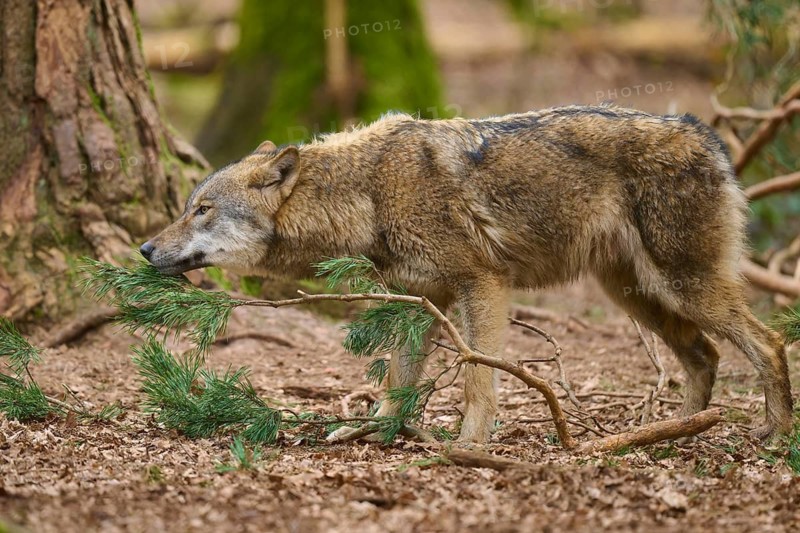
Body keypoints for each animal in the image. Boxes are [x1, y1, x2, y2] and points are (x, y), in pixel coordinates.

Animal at [140, 105, 794, 443]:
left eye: (201, 209)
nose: (145, 249)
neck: (369, 191)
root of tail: (709, 137)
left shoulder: (482, 286)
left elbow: (481, 378)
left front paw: (468, 445)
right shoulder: (418, 300)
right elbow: (396, 381)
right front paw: (373, 433)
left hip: (680, 286)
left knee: (770, 343)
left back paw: (775, 435)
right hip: (637, 294)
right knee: (705, 355)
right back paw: (676, 431)